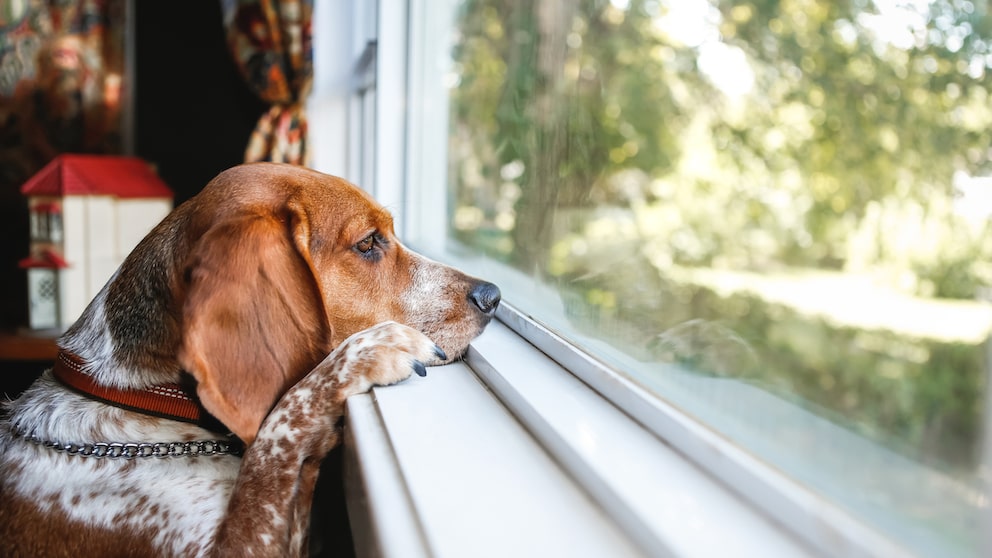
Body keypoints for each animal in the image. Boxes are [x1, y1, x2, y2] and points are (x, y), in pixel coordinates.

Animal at [0, 161, 496, 556]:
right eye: (368, 243)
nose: (492, 295)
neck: (137, 396)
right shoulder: (241, 544)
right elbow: (277, 433)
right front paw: (364, 353)